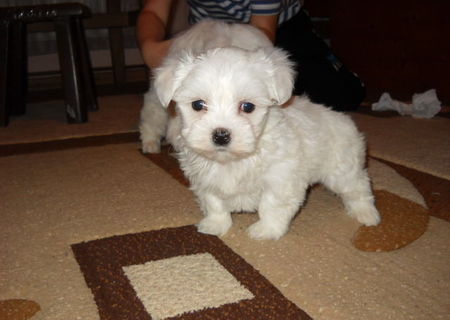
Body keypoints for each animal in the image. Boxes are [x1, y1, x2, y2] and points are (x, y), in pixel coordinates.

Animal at [140, 20, 380, 240]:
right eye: (198, 105)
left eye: (248, 107)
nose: (220, 135)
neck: (234, 161)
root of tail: (344, 119)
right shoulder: (205, 179)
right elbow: (214, 203)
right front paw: (215, 225)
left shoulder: (281, 178)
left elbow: (272, 206)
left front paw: (266, 230)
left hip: (343, 169)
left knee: (358, 187)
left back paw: (367, 214)